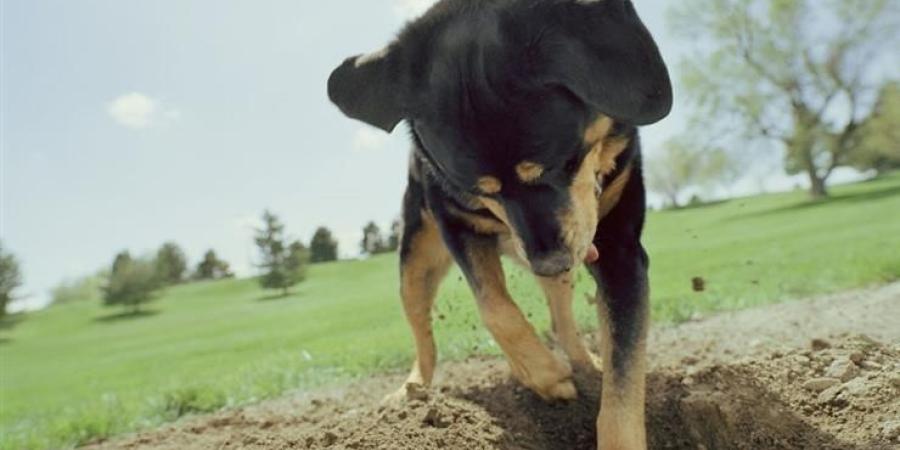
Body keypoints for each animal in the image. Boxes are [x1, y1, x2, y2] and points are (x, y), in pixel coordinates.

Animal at [326, 1, 672, 448]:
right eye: (477, 188)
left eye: (563, 162)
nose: (549, 262)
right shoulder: (456, 223)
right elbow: (494, 306)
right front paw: (544, 374)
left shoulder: (619, 248)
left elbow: (624, 374)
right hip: (415, 260)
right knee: (423, 337)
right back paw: (412, 393)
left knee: (562, 320)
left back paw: (586, 362)